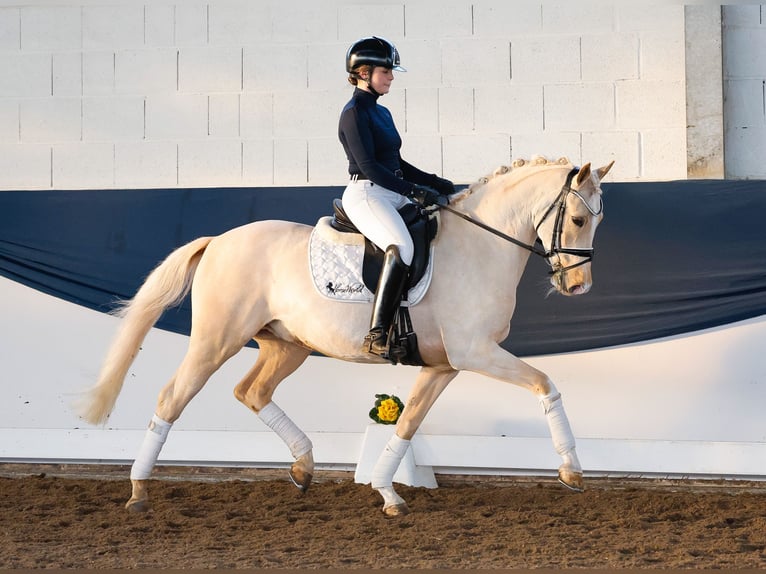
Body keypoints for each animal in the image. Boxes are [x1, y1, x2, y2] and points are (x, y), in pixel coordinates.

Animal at [78, 156, 616, 516]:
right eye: (577, 219)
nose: (578, 287)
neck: (478, 247)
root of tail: (217, 242)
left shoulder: (444, 364)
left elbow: (407, 423)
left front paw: (387, 491)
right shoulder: (477, 353)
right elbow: (545, 384)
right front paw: (571, 471)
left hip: (286, 345)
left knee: (252, 391)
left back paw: (303, 467)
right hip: (216, 341)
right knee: (172, 398)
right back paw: (138, 491)